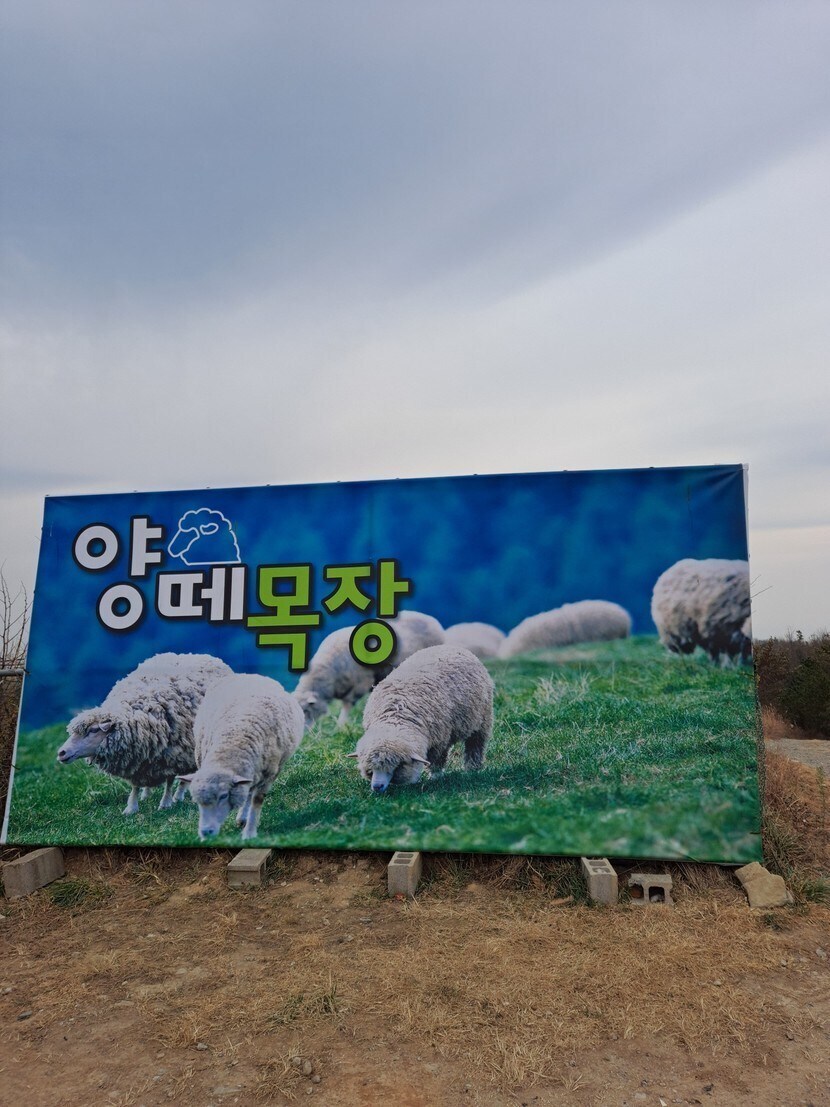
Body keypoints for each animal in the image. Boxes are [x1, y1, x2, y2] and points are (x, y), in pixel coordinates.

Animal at [56, 652, 232, 815]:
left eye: (93, 730)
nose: (61, 752)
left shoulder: (173, 754)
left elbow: (169, 780)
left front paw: (165, 803)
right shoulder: (138, 758)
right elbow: (135, 784)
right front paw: (131, 807)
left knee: (185, 776)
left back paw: (178, 796)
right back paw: (146, 794)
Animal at [178, 673, 304, 840]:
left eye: (224, 796)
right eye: (197, 801)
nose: (206, 831)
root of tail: (250, 675)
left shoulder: (269, 774)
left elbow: (257, 801)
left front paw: (249, 833)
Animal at [294, 609, 445, 728]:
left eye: (306, 710)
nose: (304, 734)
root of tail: (430, 618)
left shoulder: (359, 683)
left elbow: (347, 705)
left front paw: (341, 725)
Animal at [350, 644, 494, 794]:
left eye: (396, 766)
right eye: (370, 770)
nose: (377, 787)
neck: (396, 716)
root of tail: (452, 645)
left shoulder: (439, 742)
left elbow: (437, 759)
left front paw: (435, 777)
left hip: (482, 721)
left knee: (475, 745)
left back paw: (472, 769)